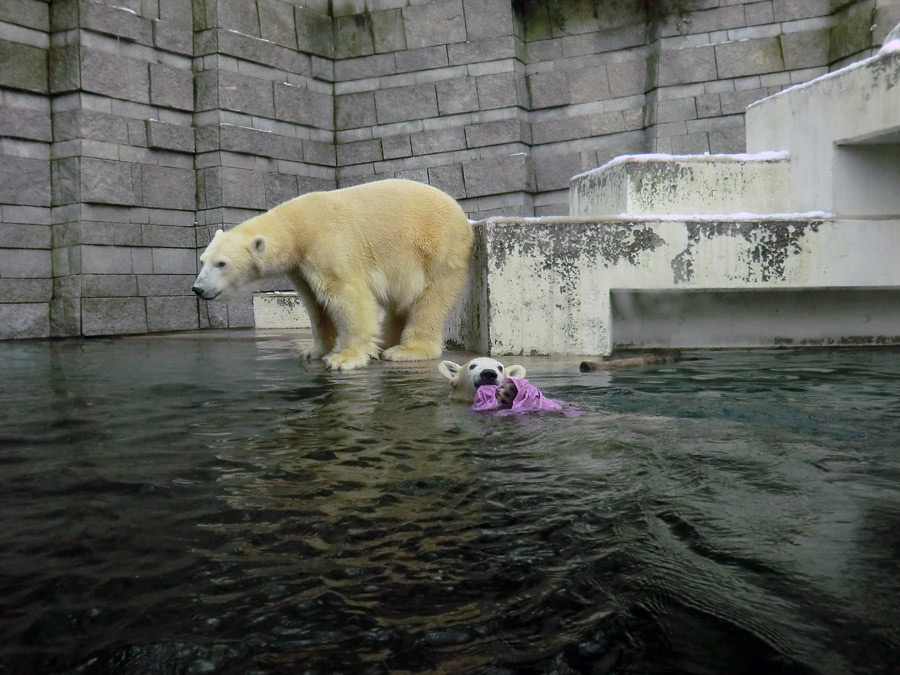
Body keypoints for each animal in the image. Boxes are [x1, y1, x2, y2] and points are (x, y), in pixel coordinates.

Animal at [193, 178, 474, 370]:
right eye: (203, 260)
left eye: (221, 264)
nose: (198, 288)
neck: (297, 226)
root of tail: (462, 215)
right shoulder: (300, 266)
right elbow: (316, 306)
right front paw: (312, 351)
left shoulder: (330, 244)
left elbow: (347, 295)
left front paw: (344, 358)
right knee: (399, 304)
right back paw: (385, 342)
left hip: (438, 251)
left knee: (429, 302)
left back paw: (406, 350)